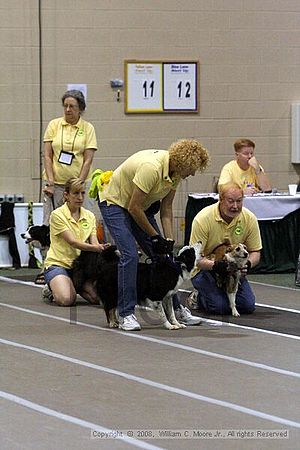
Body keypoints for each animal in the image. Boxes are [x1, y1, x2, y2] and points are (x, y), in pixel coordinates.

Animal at [72, 243, 202, 330]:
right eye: (192, 250)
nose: (200, 241)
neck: (177, 267)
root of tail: (107, 265)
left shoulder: (167, 297)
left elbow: (171, 313)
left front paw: (176, 324)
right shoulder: (155, 298)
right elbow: (163, 314)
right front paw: (169, 326)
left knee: (113, 309)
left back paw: (117, 322)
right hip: (111, 293)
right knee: (108, 309)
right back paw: (112, 323)